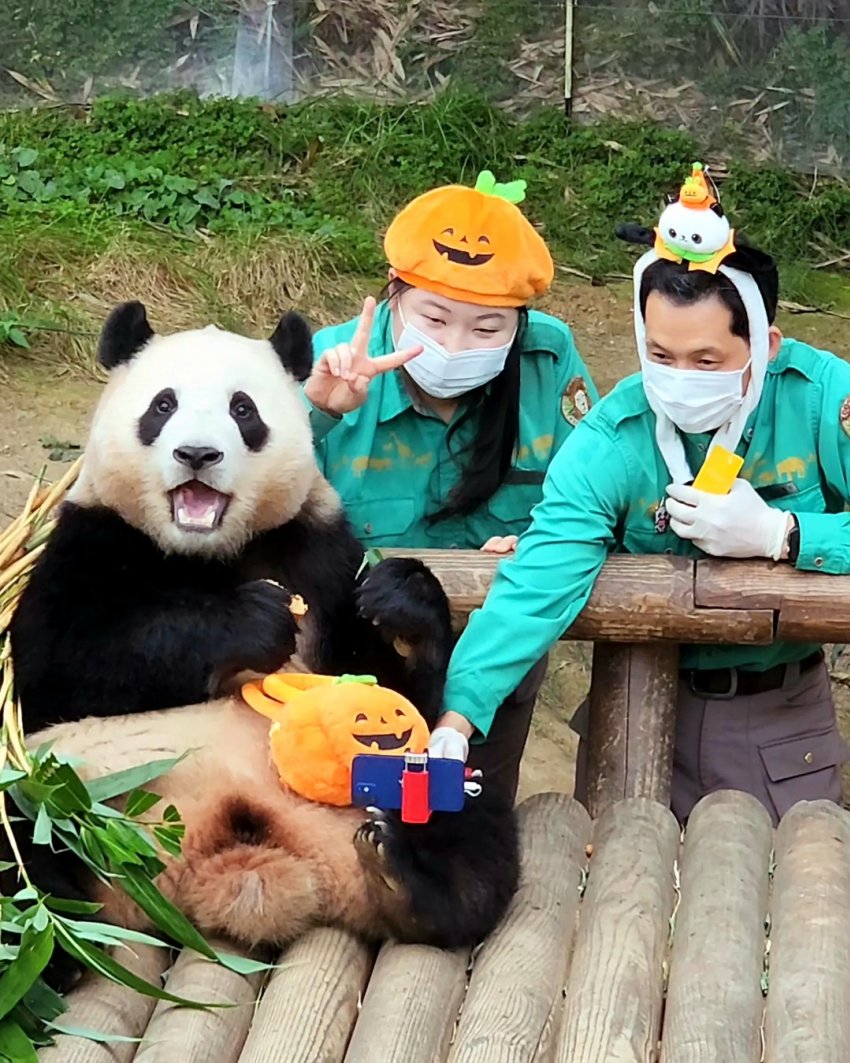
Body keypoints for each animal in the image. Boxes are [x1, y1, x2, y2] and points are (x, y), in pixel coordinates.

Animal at [8, 301, 518, 994]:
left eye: (243, 410)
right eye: (162, 405)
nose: (198, 454)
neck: (206, 552)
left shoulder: (317, 549)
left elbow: (389, 682)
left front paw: (401, 606)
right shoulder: (89, 540)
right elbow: (59, 666)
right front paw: (251, 623)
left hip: (400, 784)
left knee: (470, 821)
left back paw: (405, 880)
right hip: (59, 790)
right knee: (23, 850)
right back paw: (49, 952)